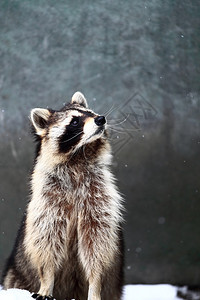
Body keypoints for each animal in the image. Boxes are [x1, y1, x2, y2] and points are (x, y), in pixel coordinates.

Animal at [1, 92, 123, 300]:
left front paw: (95, 285)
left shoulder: (98, 197)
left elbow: (97, 244)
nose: (101, 119)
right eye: (74, 121)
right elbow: (47, 242)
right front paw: (46, 282)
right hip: (14, 275)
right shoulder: (48, 199)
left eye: (90, 112)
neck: (79, 155)